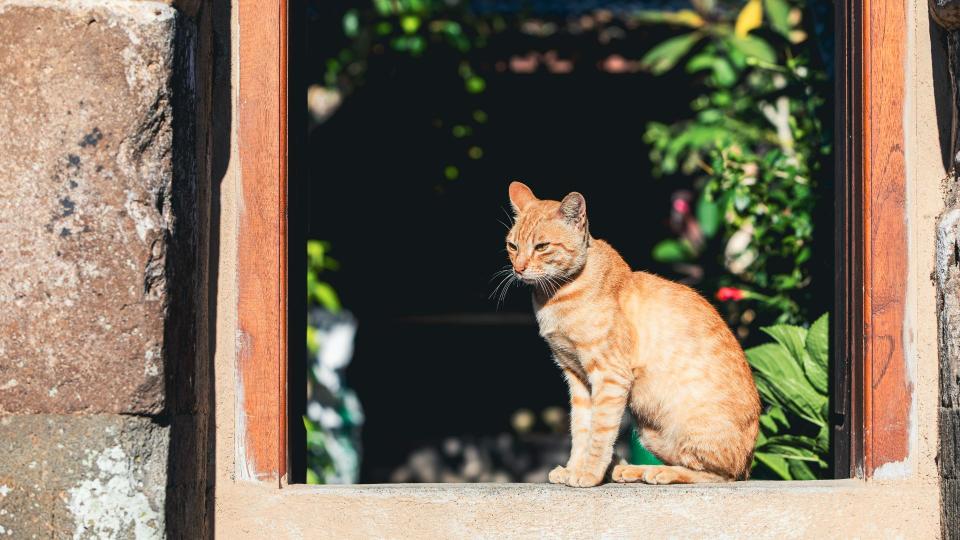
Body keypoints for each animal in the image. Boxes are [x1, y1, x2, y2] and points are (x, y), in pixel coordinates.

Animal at [506, 180, 760, 486]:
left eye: (542, 247)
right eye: (512, 246)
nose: (518, 268)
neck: (553, 298)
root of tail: (748, 462)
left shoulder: (609, 375)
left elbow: (599, 433)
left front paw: (588, 474)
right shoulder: (576, 377)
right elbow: (580, 429)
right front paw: (573, 468)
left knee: (717, 475)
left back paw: (658, 472)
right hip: (649, 431)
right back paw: (630, 470)